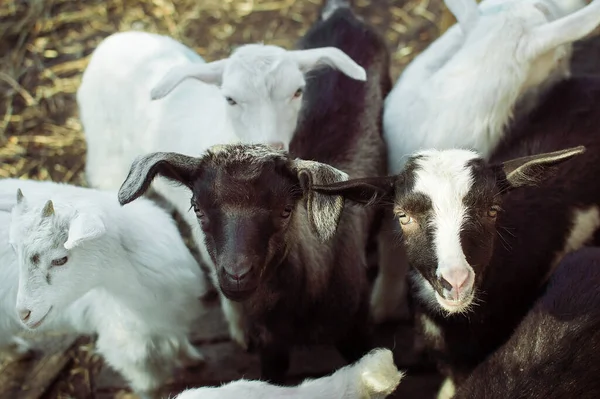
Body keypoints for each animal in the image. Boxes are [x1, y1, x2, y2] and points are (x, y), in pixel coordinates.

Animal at [0, 179, 207, 399]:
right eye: (15, 251)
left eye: (60, 259)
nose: (24, 314)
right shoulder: (127, 347)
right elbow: (150, 386)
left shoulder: (170, 315)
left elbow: (180, 341)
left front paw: (193, 360)